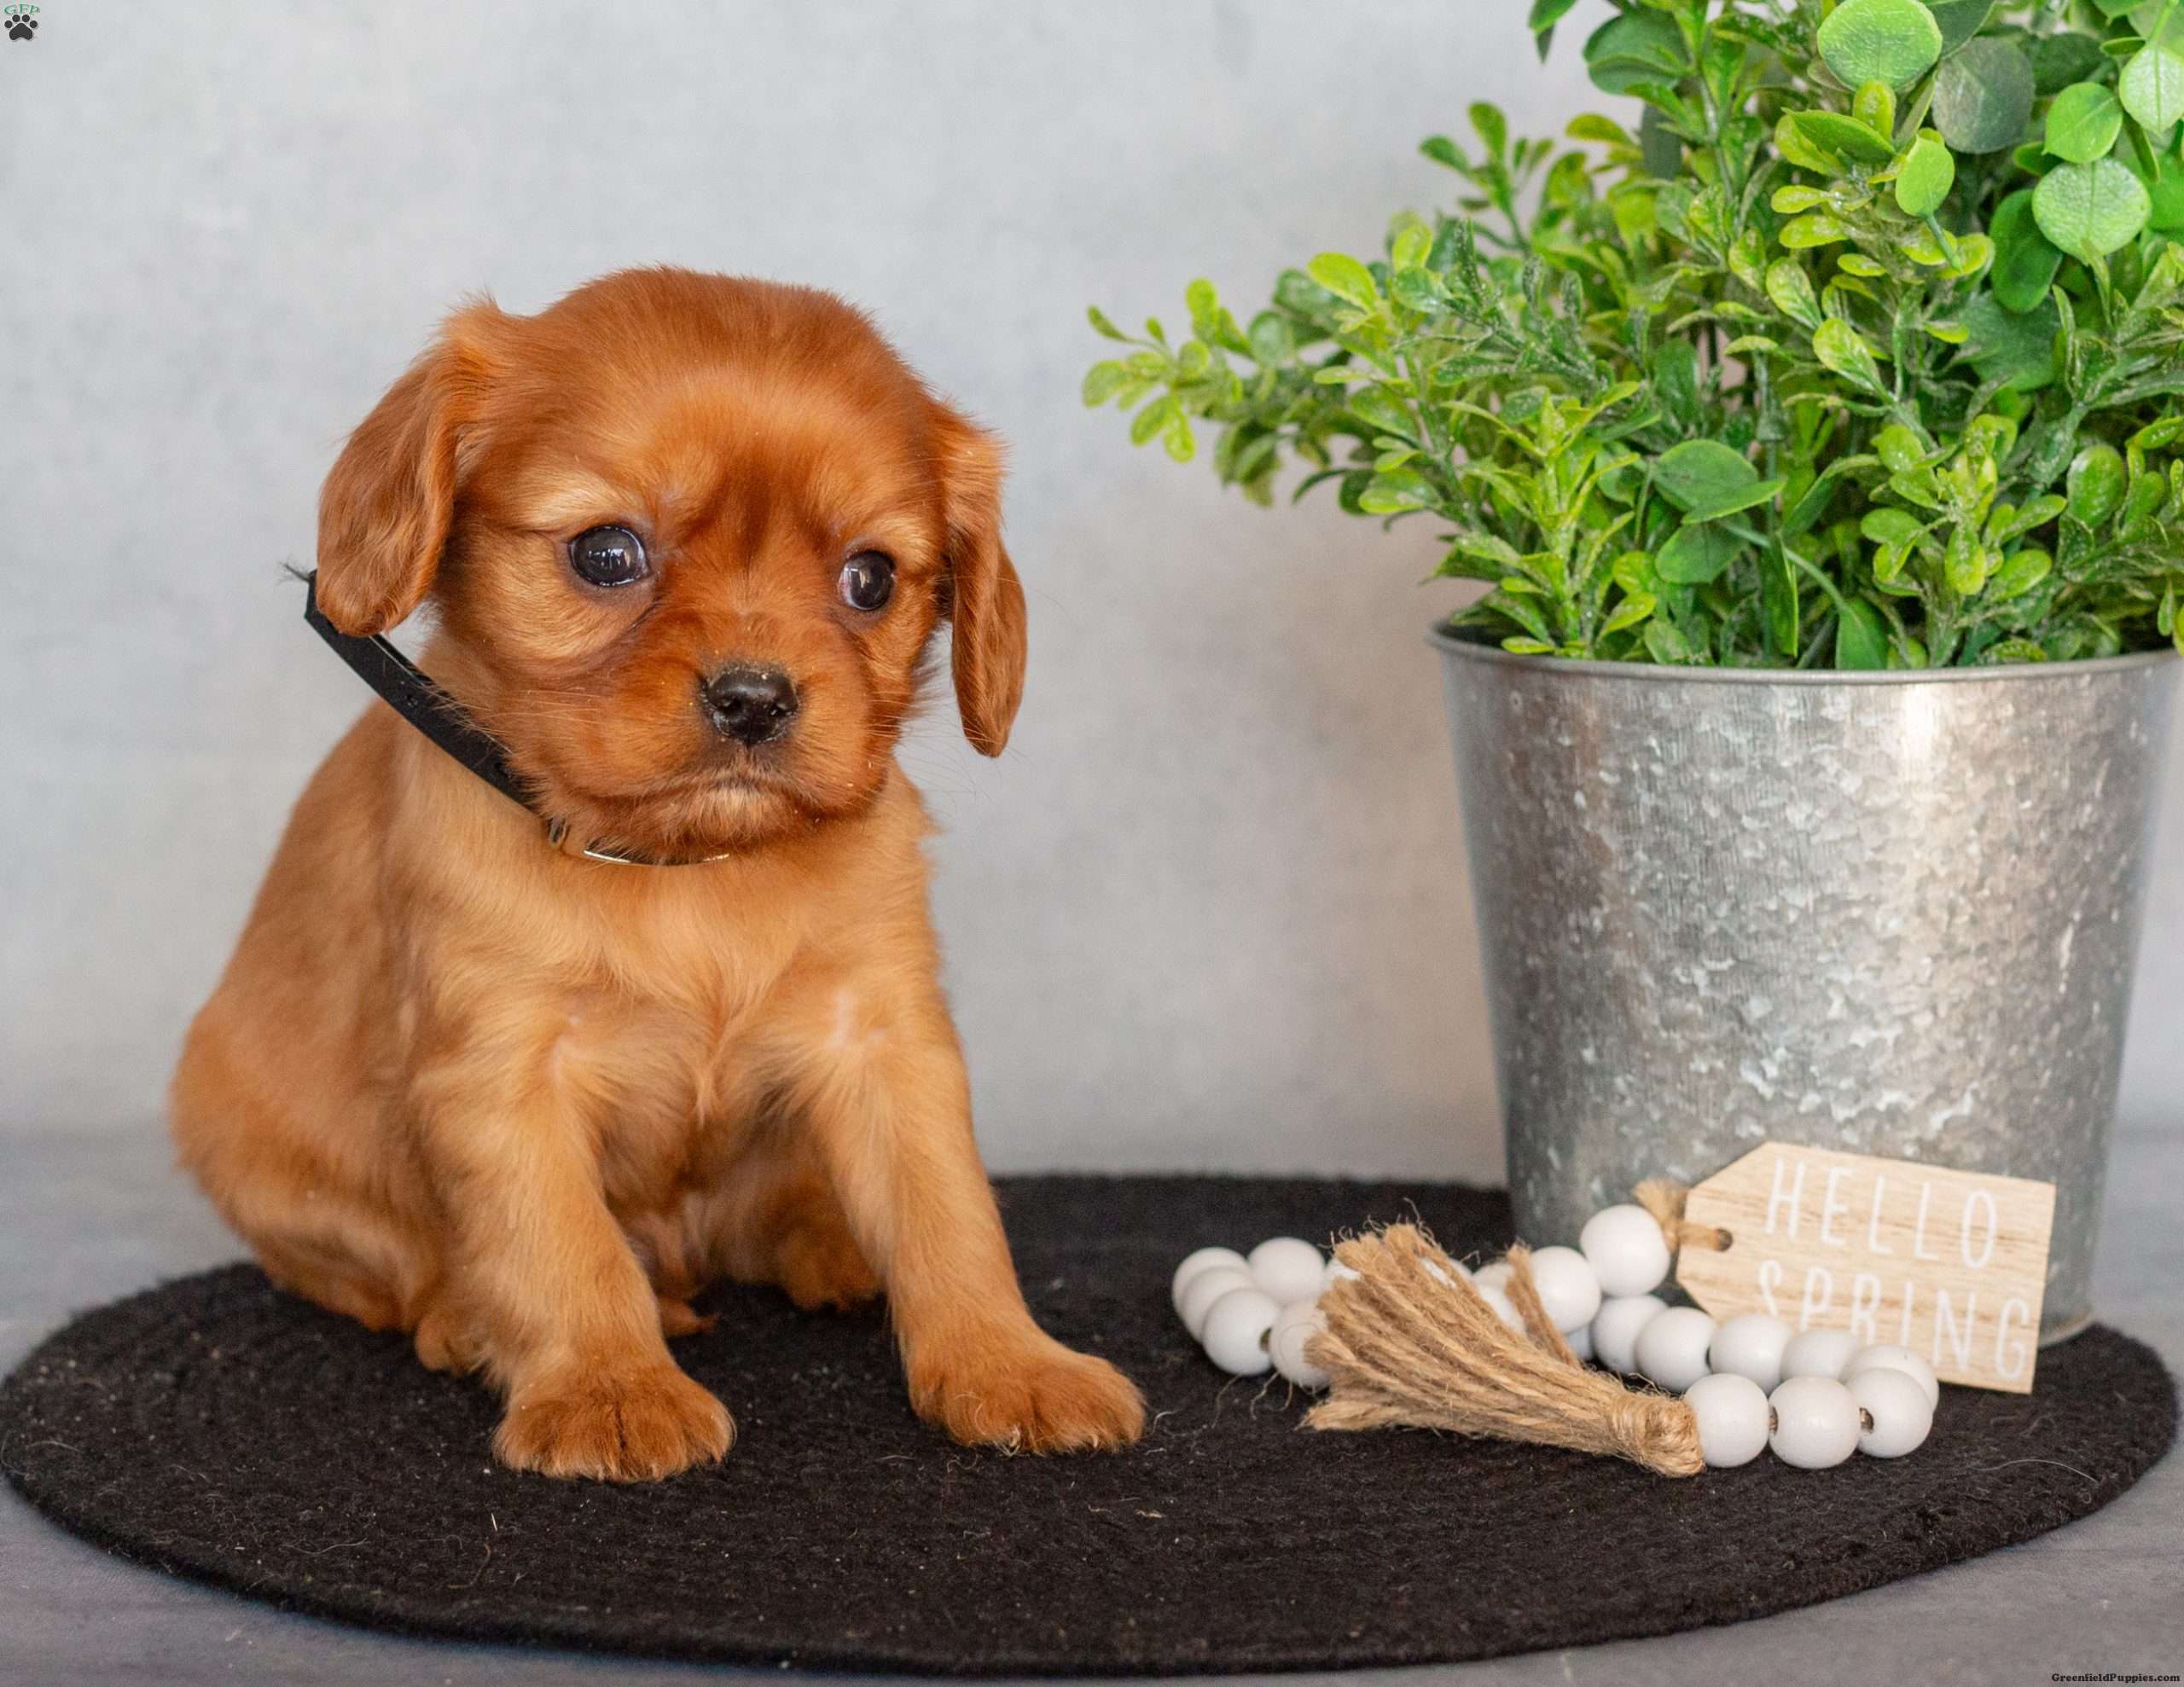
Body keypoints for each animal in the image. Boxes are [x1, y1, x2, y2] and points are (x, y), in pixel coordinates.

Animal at [170, 266, 1144, 1475]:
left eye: (871, 578)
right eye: (605, 554)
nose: (754, 697)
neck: (692, 869)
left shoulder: (885, 1037)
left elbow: (949, 1209)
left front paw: (1007, 1362)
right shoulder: (502, 1073)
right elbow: (560, 1242)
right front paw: (609, 1387)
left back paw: (827, 1243)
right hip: (255, 1153)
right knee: (391, 1267)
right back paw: (469, 1315)